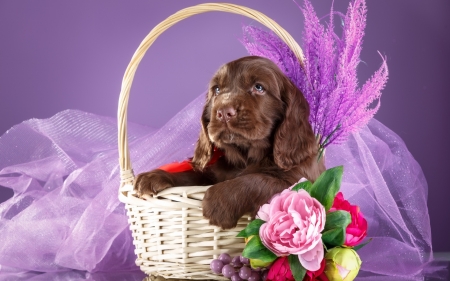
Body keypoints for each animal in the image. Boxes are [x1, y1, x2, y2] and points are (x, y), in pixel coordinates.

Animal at [135, 55, 326, 229]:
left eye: (259, 87)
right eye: (217, 89)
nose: (224, 112)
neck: (245, 155)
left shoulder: (299, 182)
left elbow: (258, 179)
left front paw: (219, 203)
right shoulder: (210, 175)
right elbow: (190, 176)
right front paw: (154, 176)